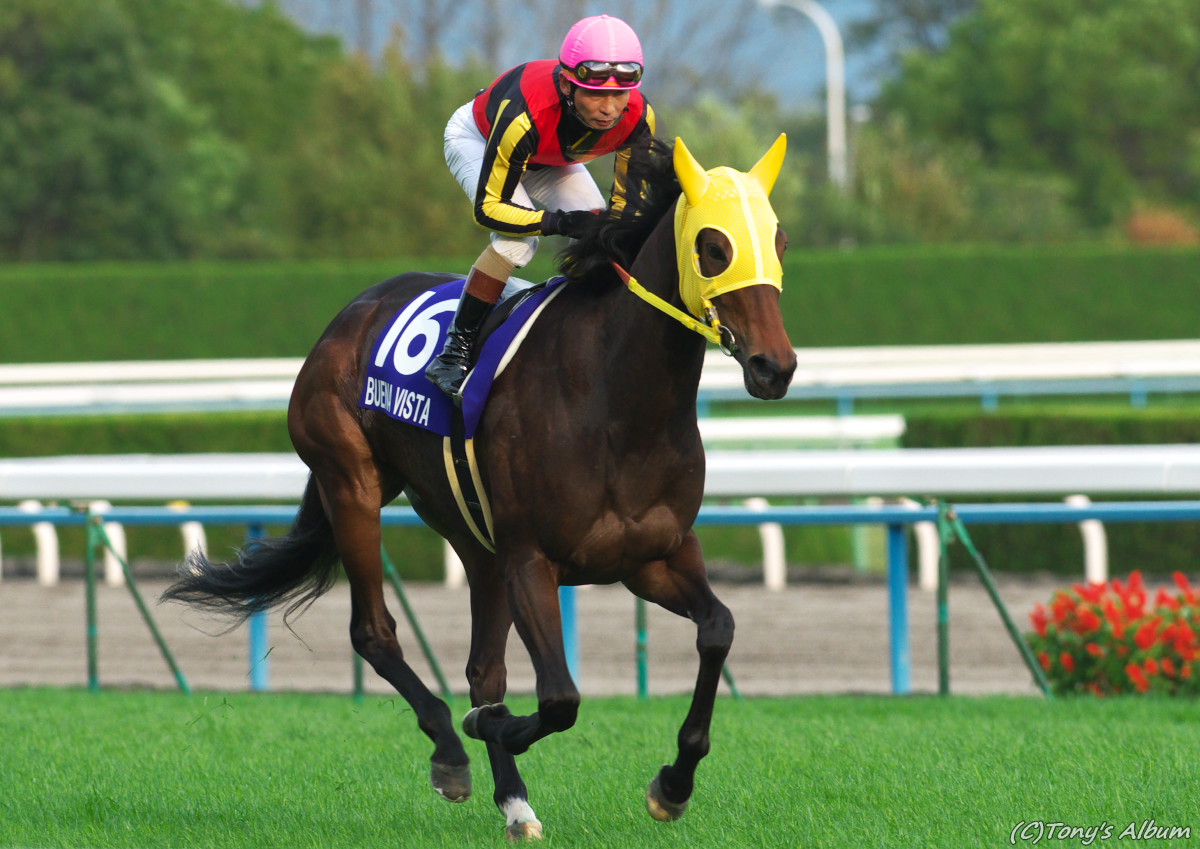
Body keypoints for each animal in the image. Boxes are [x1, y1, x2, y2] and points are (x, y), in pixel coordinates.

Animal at [162, 134, 797, 840]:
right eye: (713, 246)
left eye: (779, 239)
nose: (776, 366)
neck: (618, 404)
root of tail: (353, 312)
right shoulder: (532, 559)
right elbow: (559, 699)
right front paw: (489, 728)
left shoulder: (654, 556)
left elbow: (717, 629)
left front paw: (673, 785)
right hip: (351, 484)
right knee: (375, 632)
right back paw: (450, 750)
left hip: (473, 538)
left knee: (482, 666)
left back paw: (515, 802)